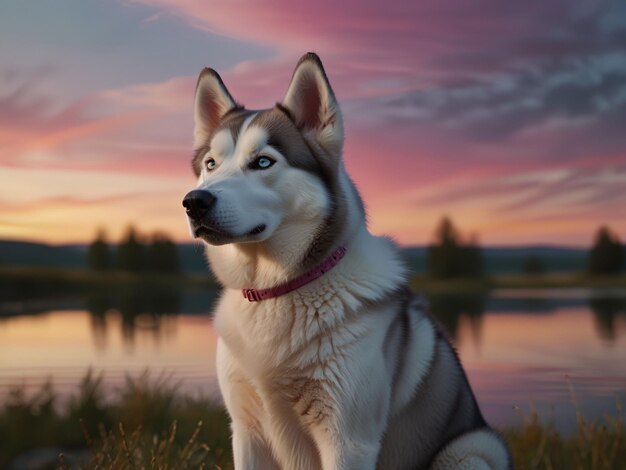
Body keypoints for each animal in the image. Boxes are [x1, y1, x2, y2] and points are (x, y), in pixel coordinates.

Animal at [182, 53, 512, 468]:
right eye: (211, 164)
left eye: (263, 162)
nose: (194, 202)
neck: (277, 290)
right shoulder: (246, 431)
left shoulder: (347, 439)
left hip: (474, 449)